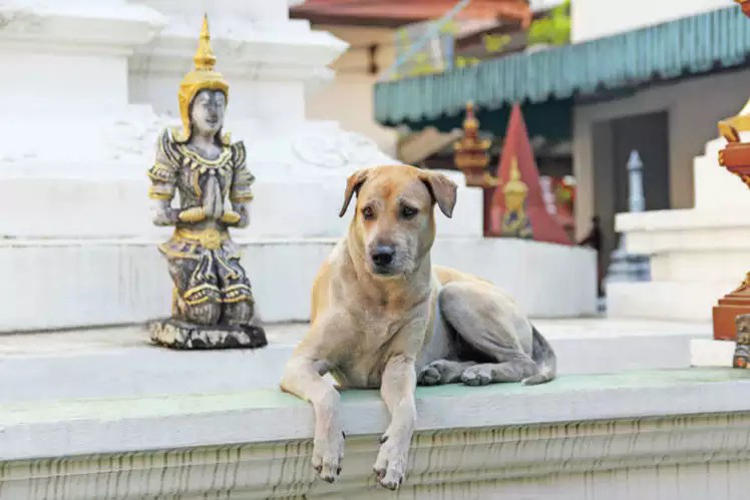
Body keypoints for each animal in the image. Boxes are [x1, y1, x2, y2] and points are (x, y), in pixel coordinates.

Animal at [282, 164, 560, 488]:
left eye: (408, 211)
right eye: (367, 211)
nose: (381, 254)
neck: (381, 293)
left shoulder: (399, 365)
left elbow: (406, 409)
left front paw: (392, 459)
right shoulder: (302, 362)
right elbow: (328, 393)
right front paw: (328, 449)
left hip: (456, 295)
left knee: (523, 361)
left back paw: (480, 371)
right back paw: (450, 371)